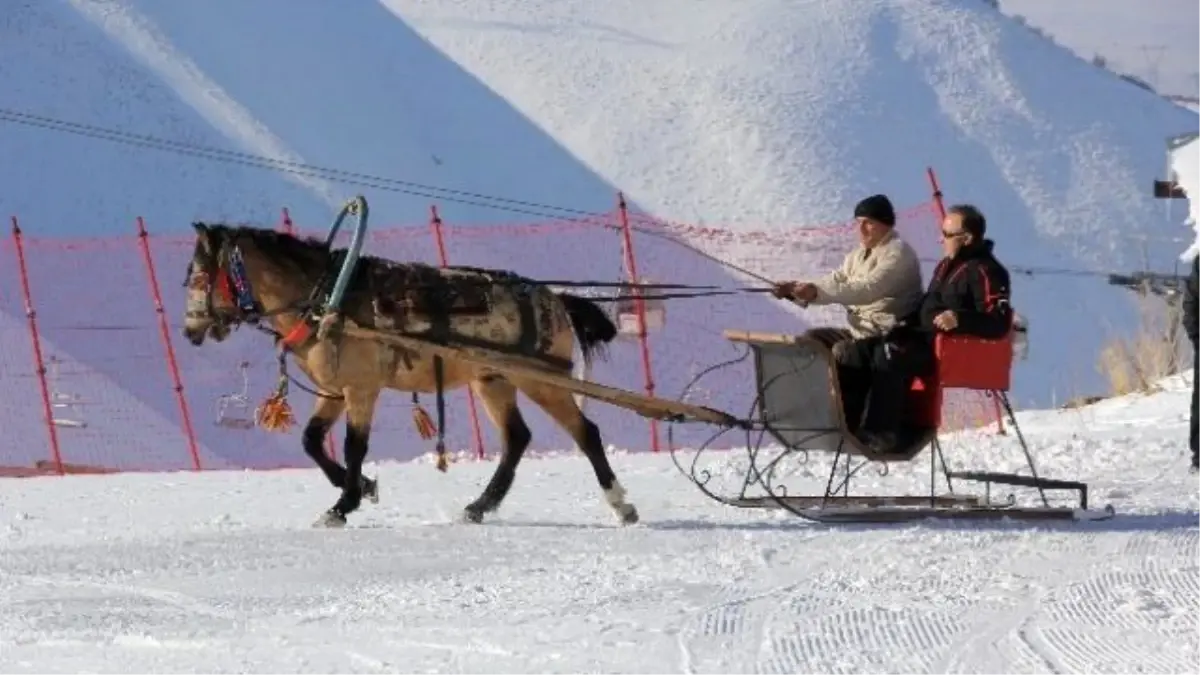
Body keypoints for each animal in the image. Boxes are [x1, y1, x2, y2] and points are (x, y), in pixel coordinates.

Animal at [180, 220, 638, 526]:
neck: (328, 300)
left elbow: (353, 446)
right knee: (516, 438)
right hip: (493, 380)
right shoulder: (334, 390)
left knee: (585, 432)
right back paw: (480, 506)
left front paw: (343, 505)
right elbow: (311, 440)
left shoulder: (361, 388)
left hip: (540, 378)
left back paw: (621, 503)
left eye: (199, 276)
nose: (190, 330)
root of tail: (555, 298)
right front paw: (362, 487)